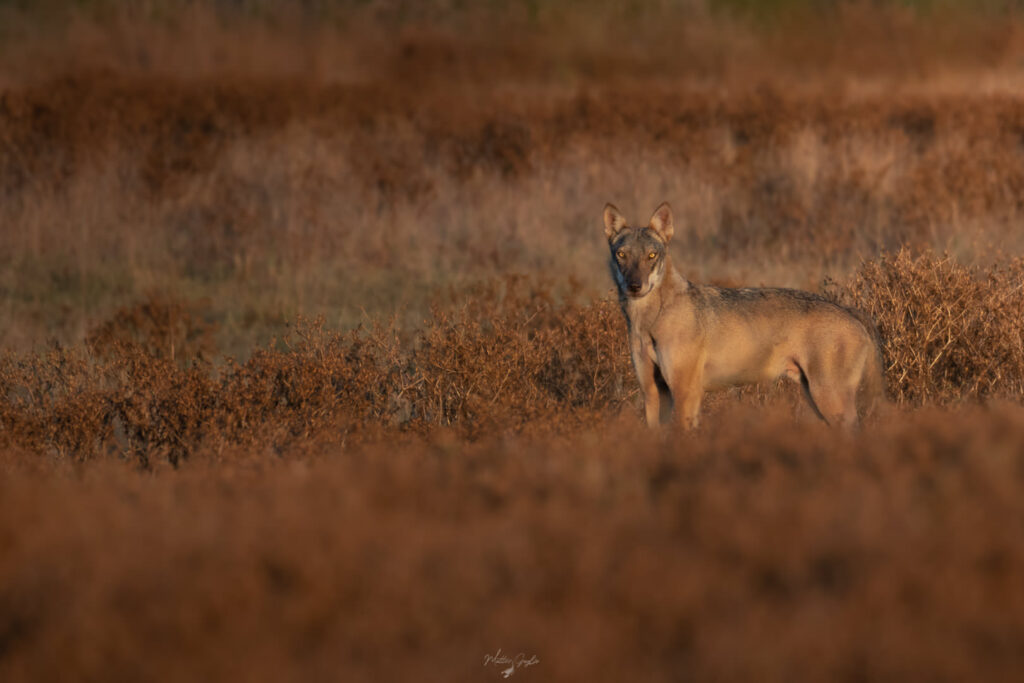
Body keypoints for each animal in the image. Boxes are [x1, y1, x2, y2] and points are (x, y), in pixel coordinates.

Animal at [604, 201, 887, 429]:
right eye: (622, 255)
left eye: (651, 256)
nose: (634, 286)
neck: (648, 321)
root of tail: (851, 310)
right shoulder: (653, 393)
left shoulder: (686, 393)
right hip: (817, 400)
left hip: (828, 400)